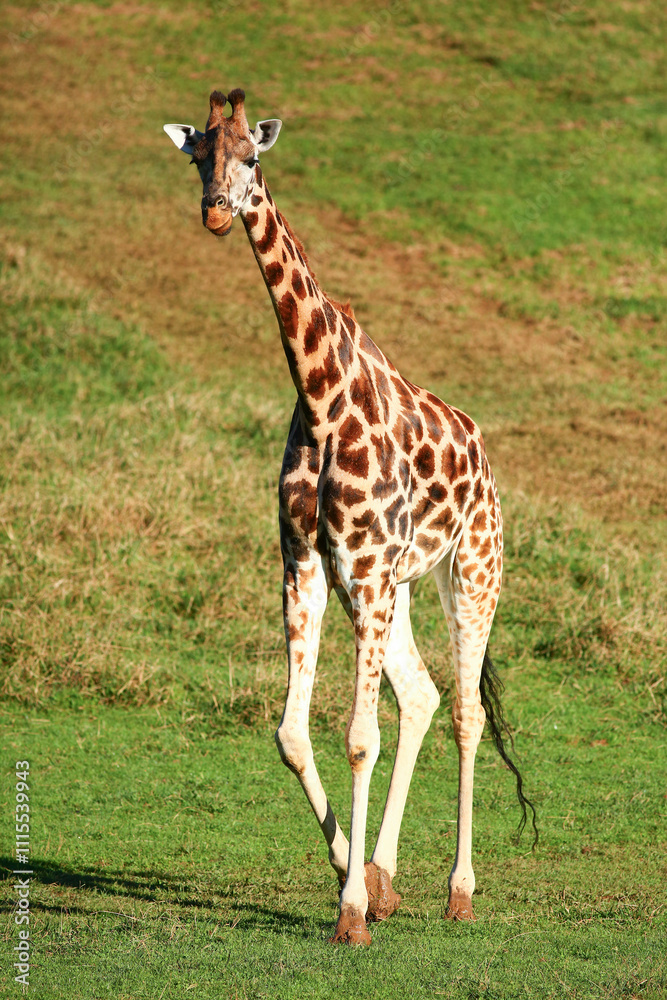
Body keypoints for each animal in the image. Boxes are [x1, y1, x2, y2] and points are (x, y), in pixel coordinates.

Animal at [164, 88, 536, 946]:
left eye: (252, 155)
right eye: (198, 156)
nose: (215, 212)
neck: (321, 393)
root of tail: (483, 455)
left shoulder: (362, 568)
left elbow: (358, 737)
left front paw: (351, 914)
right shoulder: (308, 561)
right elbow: (292, 734)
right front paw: (354, 878)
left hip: (471, 571)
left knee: (464, 711)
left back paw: (458, 892)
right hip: (390, 587)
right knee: (423, 695)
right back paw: (388, 877)